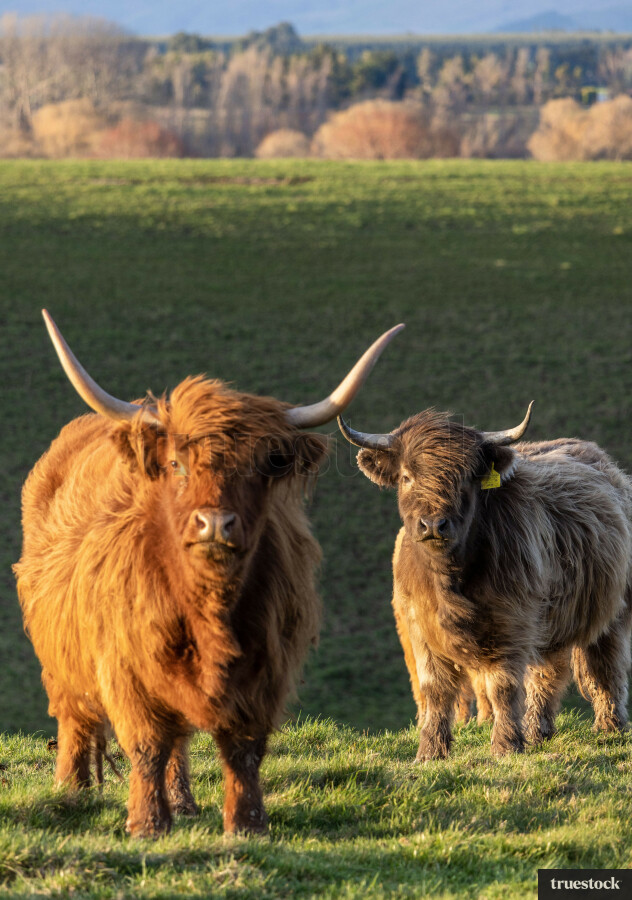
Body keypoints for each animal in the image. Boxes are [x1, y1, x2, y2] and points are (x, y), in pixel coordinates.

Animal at [14, 311, 403, 837]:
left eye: (265, 466)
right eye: (177, 463)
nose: (215, 523)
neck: (209, 607)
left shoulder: (264, 665)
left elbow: (243, 749)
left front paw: (247, 824)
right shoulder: (126, 663)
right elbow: (146, 745)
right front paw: (146, 823)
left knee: (177, 741)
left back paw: (183, 801)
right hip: (59, 650)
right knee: (75, 719)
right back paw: (71, 792)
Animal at [338, 405, 632, 761]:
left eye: (466, 480)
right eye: (407, 476)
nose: (433, 524)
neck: (450, 580)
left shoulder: (511, 622)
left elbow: (502, 686)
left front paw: (505, 745)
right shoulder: (419, 626)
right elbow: (434, 689)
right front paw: (431, 751)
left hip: (611, 609)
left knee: (604, 665)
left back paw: (609, 727)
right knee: (548, 672)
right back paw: (538, 731)